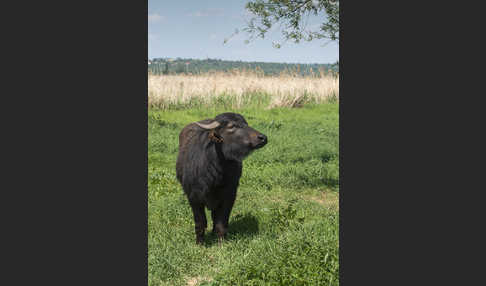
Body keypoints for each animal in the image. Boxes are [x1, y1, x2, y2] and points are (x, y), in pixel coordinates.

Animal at [176, 113, 268, 245]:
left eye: (246, 123)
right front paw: (200, 243)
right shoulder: (194, 197)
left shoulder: (229, 196)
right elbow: (200, 223)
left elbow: (221, 222)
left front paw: (221, 243)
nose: (263, 138)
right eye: (232, 126)